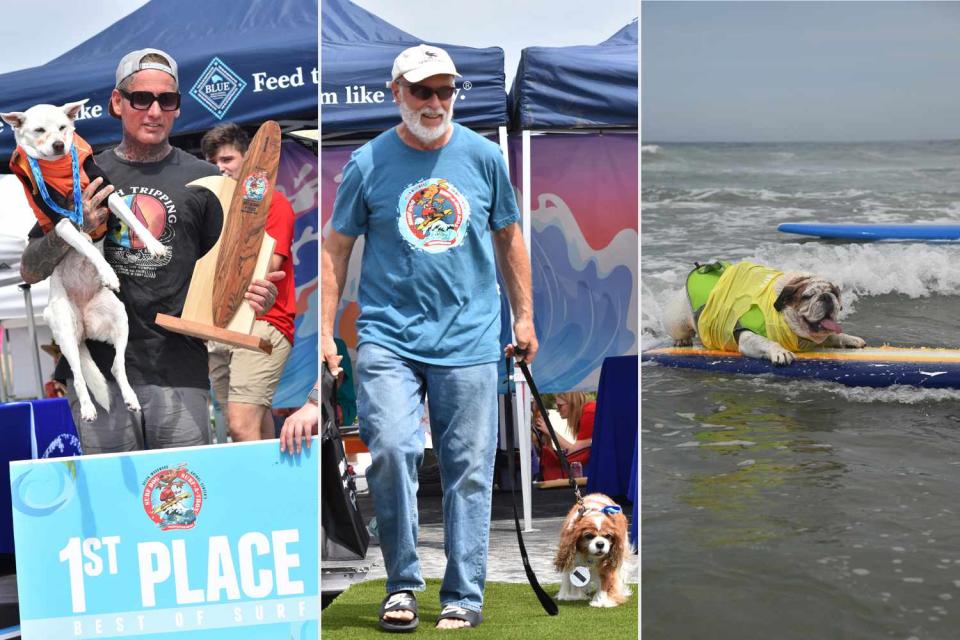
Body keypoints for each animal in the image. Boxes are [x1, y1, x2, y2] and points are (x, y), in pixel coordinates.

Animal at [3, 99, 167, 420]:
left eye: (62, 128)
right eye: (39, 130)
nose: (58, 145)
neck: (59, 168)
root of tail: (84, 327)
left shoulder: (107, 192)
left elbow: (133, 220)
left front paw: (153, 245)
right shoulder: (63, 223)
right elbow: (88, 248)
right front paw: (108, 273)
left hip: (119, 316)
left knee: (116, 366)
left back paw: (131, 397)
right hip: (64, 332)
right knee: (78, 376)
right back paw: (89, 408)